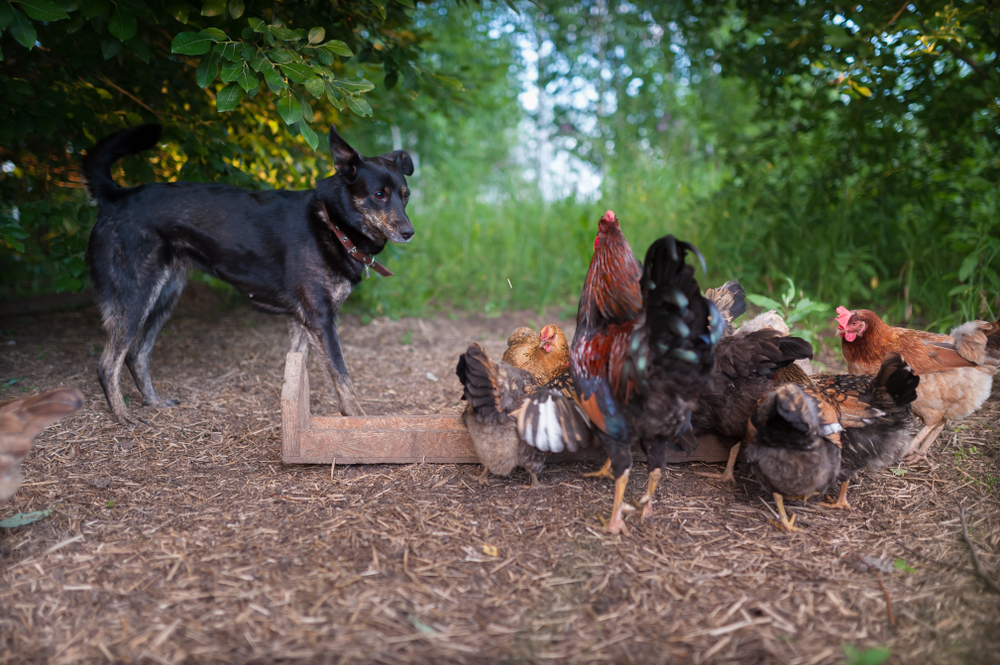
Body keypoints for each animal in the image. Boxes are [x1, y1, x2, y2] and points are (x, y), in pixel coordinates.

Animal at [83, 124, 414, 422]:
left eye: (405, 195)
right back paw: (123, 416)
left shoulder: (303, 322)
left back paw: (153, 402)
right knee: (107, 363)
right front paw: (359, 420)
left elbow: (301, 367)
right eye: (379, 194)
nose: (409, 233)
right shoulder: (321, 319)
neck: (332, 223)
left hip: (164, 297)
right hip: (134, 296)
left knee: (137, 355)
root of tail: (116, 195)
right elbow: (342, 376)